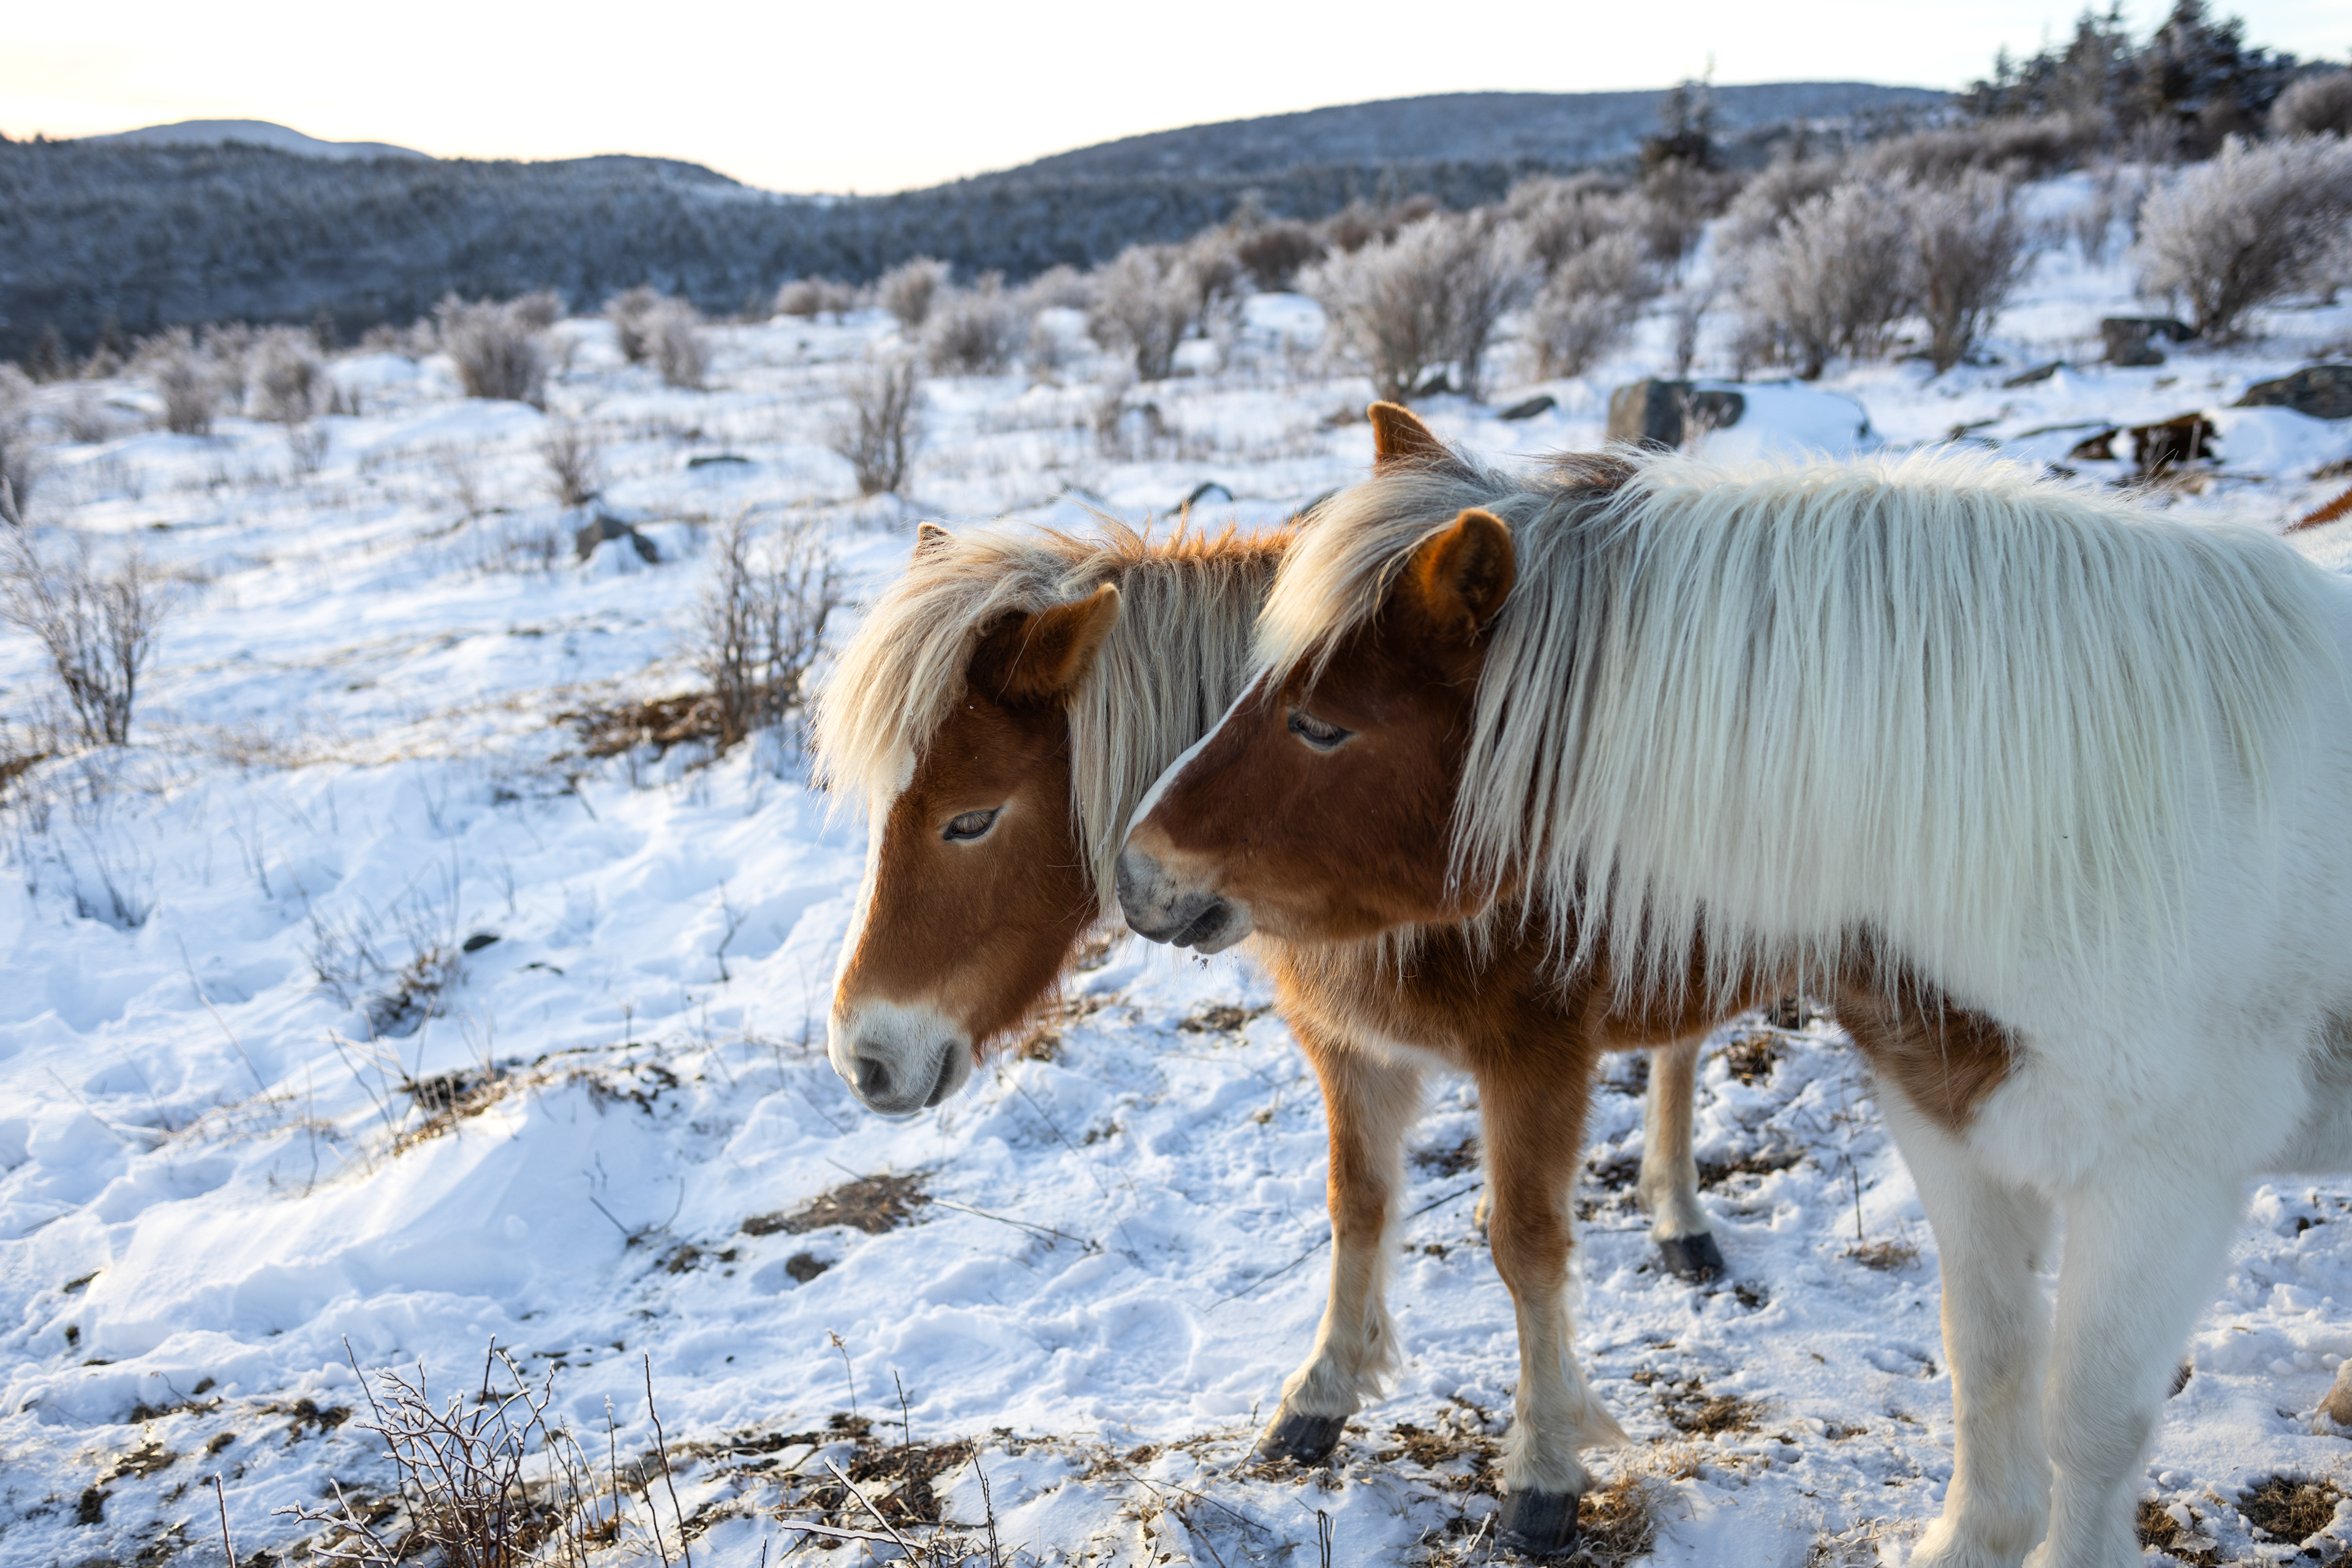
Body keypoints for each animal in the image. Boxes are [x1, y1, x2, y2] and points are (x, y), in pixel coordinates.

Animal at [811, 458, 1770, 1556]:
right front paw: (1317, 1400)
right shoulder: (1347, 1044)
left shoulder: (1537, 1060)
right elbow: (1357, 1203)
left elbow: (1526, 1248)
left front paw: (1545, 1474)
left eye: (971, 819)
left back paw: (1684, 1222)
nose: (864, 1057)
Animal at [1118, 409, 2352, 1568]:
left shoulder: (2162, 1184)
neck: (2068, 817)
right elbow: (1991, 1359)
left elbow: (2088, 1421)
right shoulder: (1951, 1125)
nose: (1137, 872)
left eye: (1325, 725)